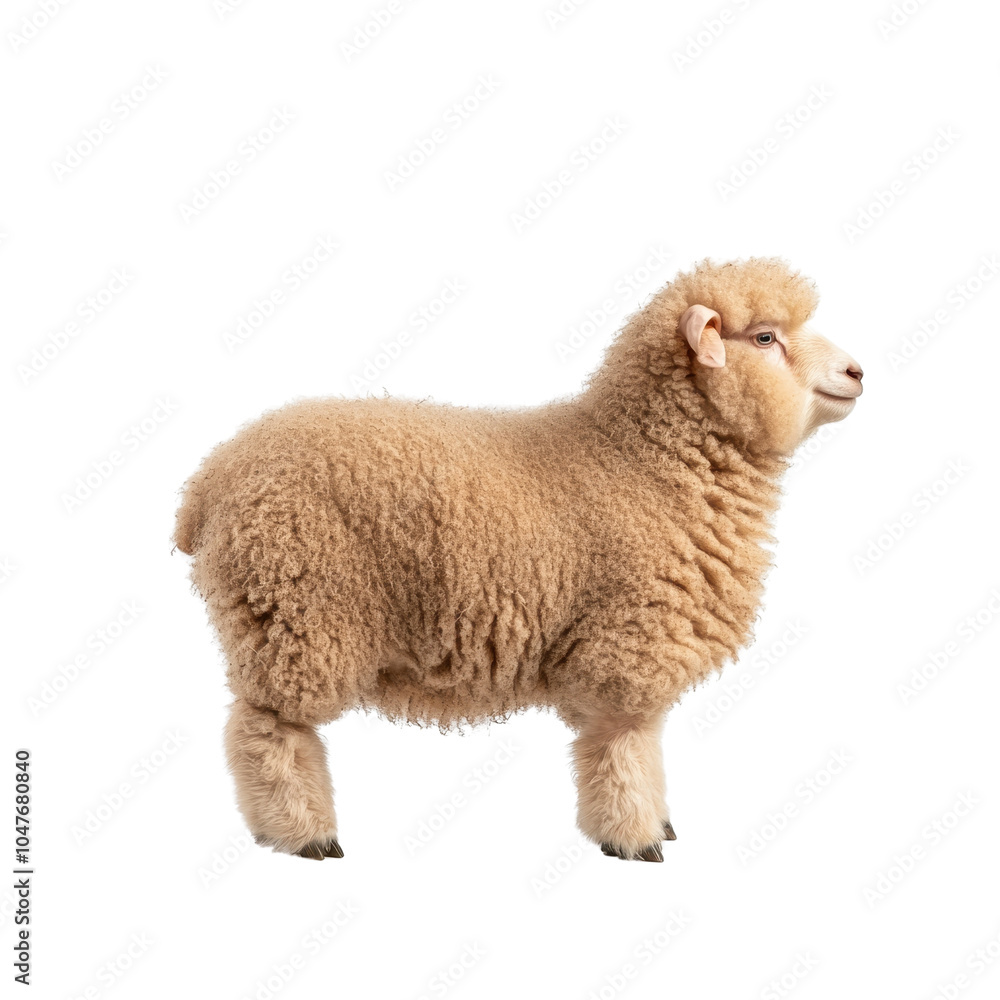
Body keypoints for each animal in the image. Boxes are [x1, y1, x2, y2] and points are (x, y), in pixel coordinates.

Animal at [174, 256, 863, 862]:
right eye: (766, 337)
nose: (858, 372)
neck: (641, 459)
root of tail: (212, 478)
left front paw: (657, 823)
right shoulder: (626, 642)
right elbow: (624, 750)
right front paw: (635, 837)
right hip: (298, 610)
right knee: (268, 731)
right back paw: (304, 835)